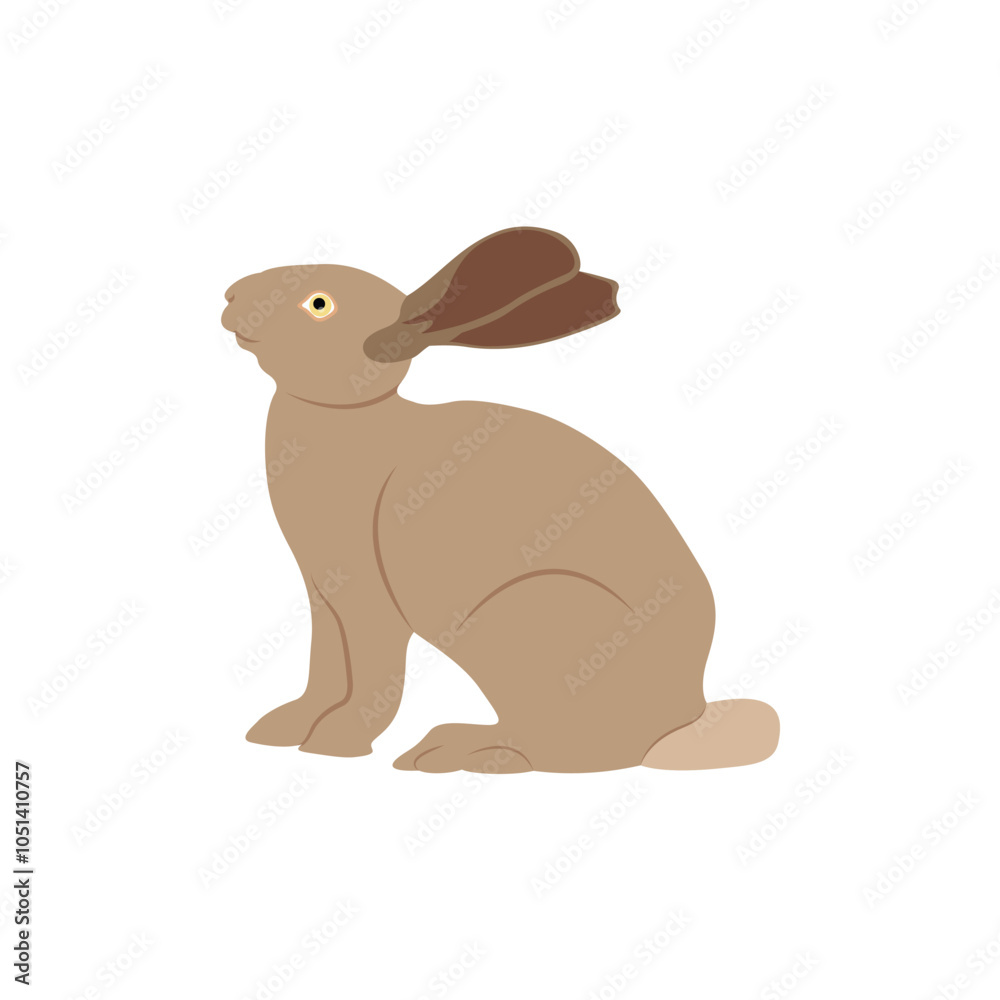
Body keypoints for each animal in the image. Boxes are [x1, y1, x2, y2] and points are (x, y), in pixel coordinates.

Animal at [221, 227, 779, 773]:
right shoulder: (325, 597)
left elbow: (372, 674)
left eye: (319, 304)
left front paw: (336, 743)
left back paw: (462, 751)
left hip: (525, 621)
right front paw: (282, 729)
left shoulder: (369, 599)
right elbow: (326, 670)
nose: (229, 295)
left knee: (567, 751)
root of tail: (673, 727)